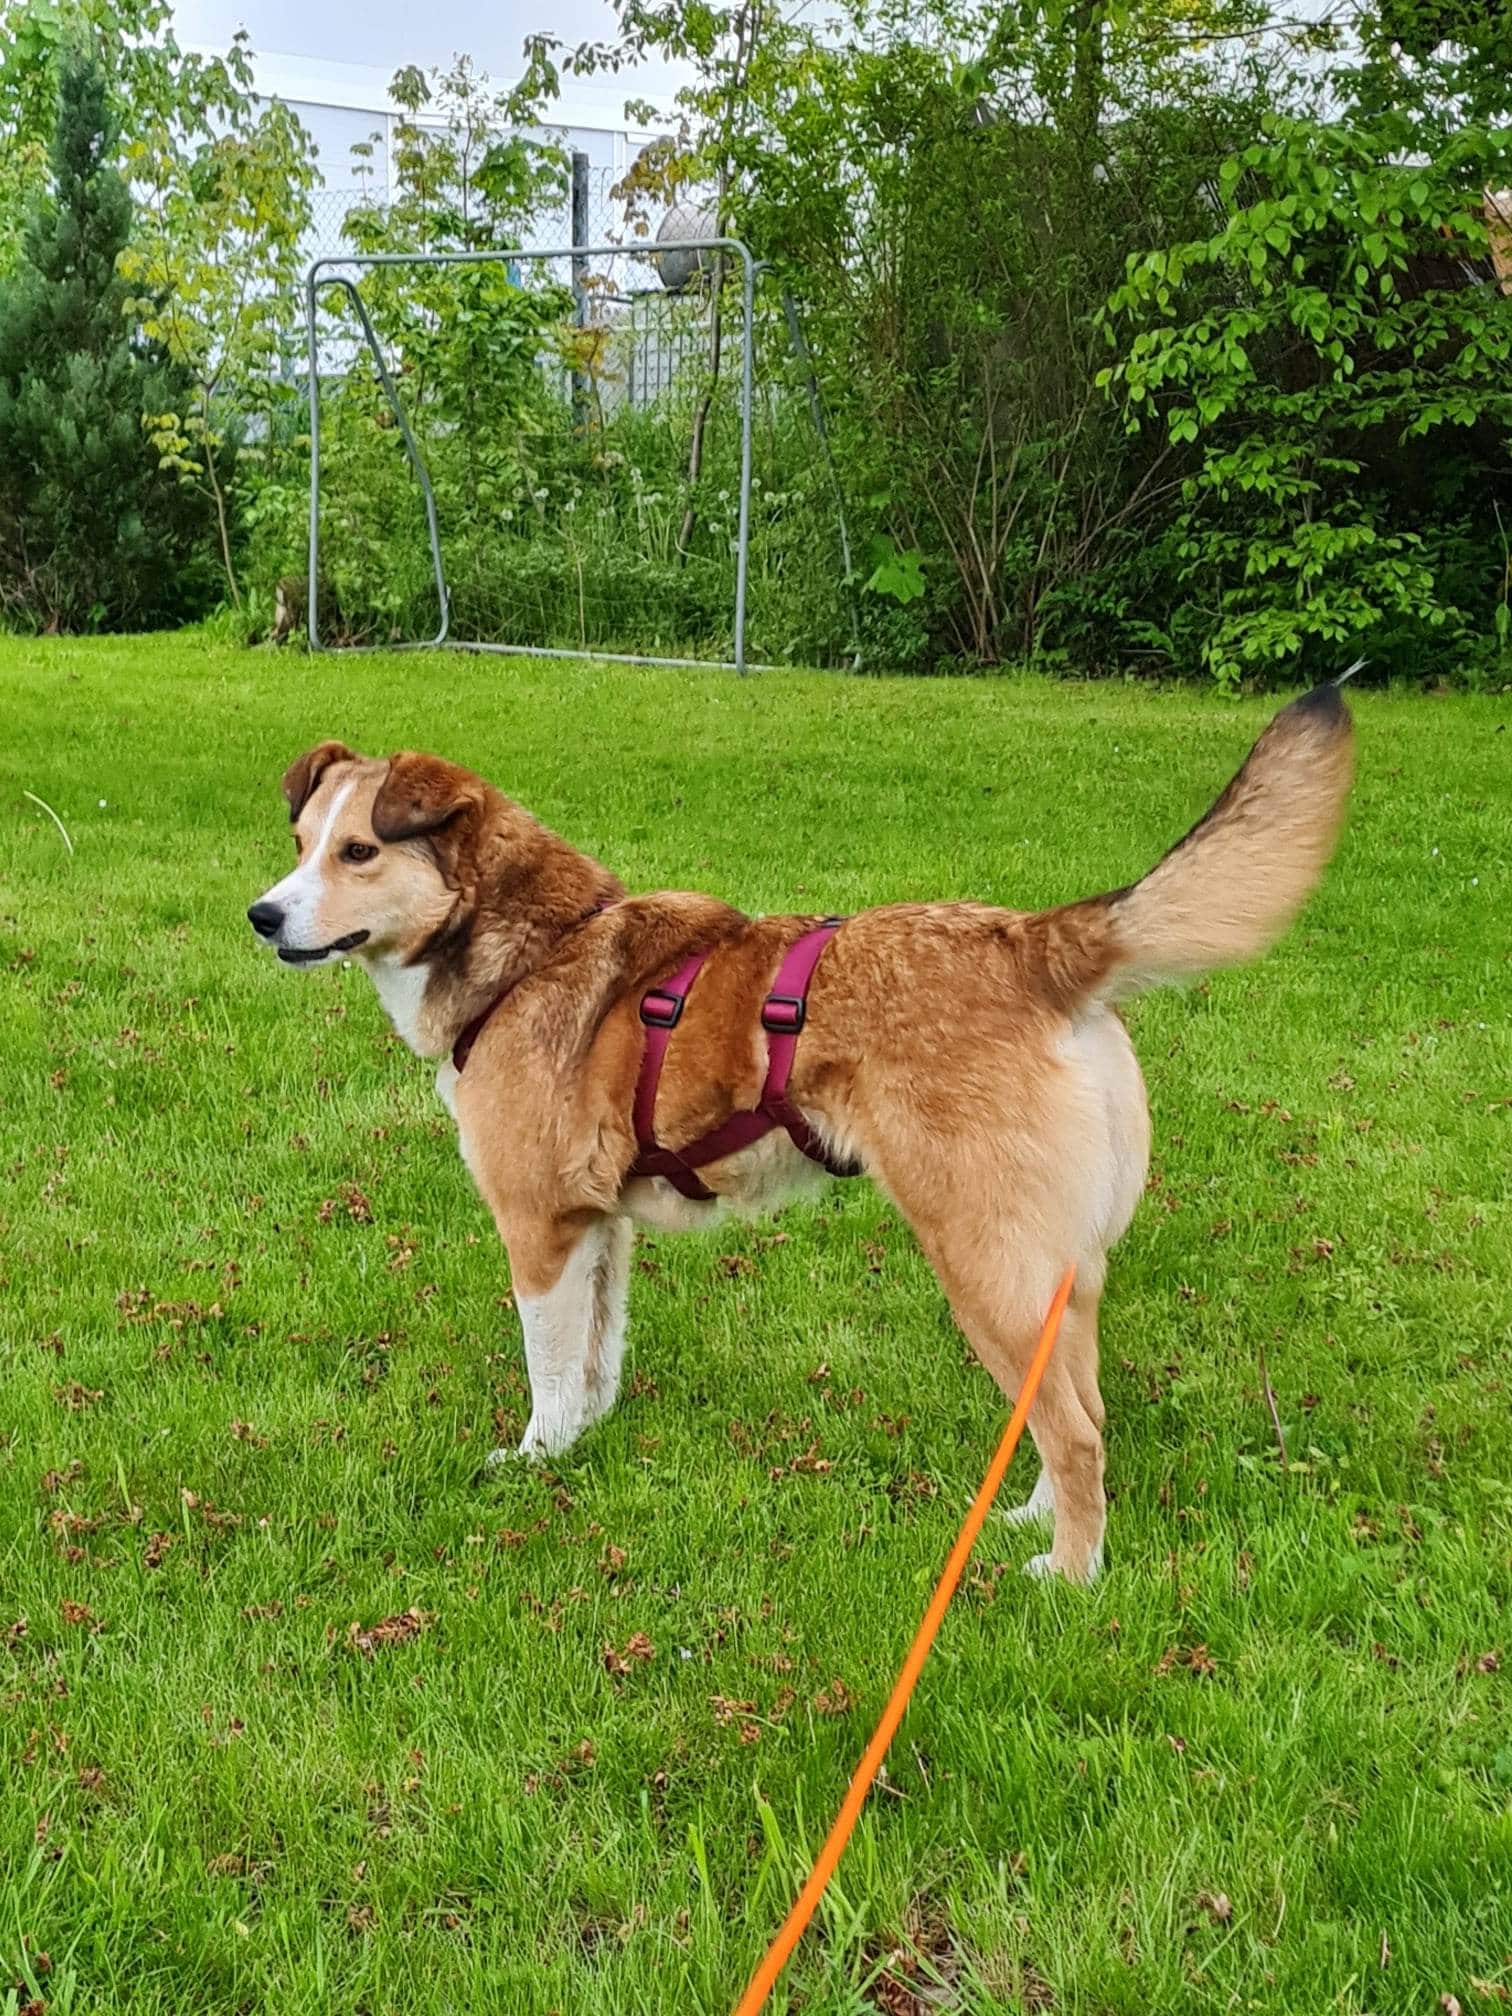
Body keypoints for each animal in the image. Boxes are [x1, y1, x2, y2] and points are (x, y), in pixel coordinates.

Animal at [247, 683, 1353, 1581]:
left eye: (360, 852)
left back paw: (1068, 1576)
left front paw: (534, 1464)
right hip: (1052, 1272)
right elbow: (598, 1359)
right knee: (1075, 1411)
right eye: (300, 847)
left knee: (1076, 1431)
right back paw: (1031, 1523)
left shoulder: (541, 1227)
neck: (530, 950)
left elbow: (551, 1370)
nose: (262, 915)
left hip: (982, 1263)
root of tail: (1035, 943)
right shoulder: (603, 1227)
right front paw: (583, 1449)